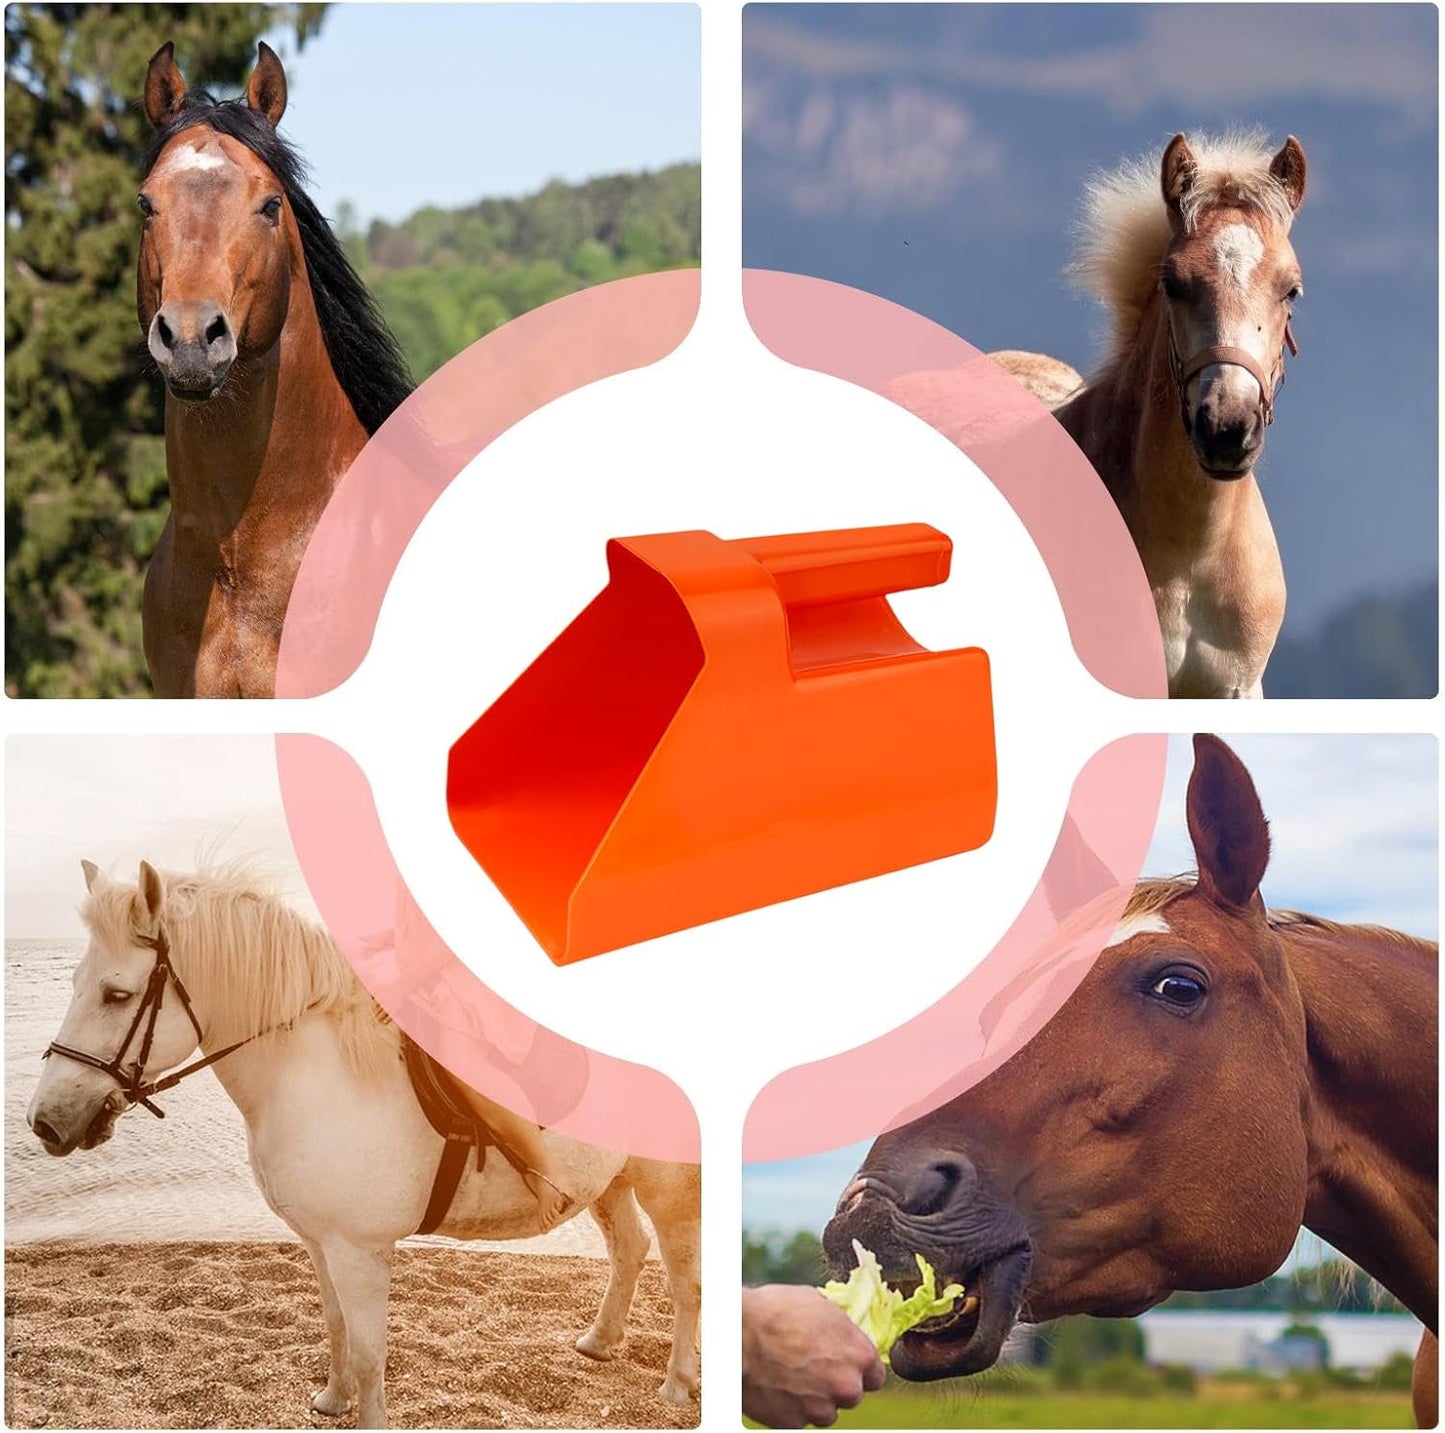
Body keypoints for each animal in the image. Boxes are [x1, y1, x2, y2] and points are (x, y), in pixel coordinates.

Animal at [26, 862, 701, 1427]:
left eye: (116, 994)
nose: (45, 1123)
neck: (315, 1074)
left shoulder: (360, 1250)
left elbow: (372, 1354)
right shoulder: (320, 1242)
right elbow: (336, 1327)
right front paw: (331, 1399)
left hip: (667, 1188)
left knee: (682, 1278)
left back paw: (677, 1383)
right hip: (609, 1182)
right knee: (629, 1250)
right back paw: (600, 1343)